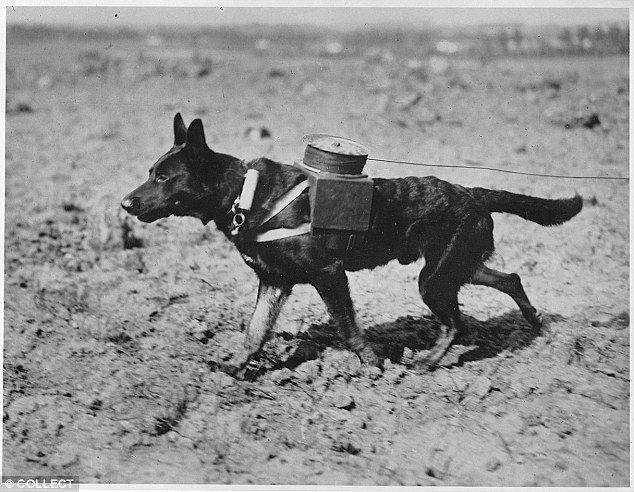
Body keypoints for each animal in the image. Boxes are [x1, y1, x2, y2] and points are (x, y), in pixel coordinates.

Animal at [121, 114, 580, 376]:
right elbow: (255, 331)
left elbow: (347, 327)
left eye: (164, 177)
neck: (245, 194)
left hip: (434, 277)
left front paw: (372, 365)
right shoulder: (274, 282)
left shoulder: (329, 274)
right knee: (510, 278)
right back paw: (534, 322)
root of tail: (473, 193)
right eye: (150, 172)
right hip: (454, 266)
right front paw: (235, 367)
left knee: (456, 323)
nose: (125, 203)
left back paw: (428, 362)